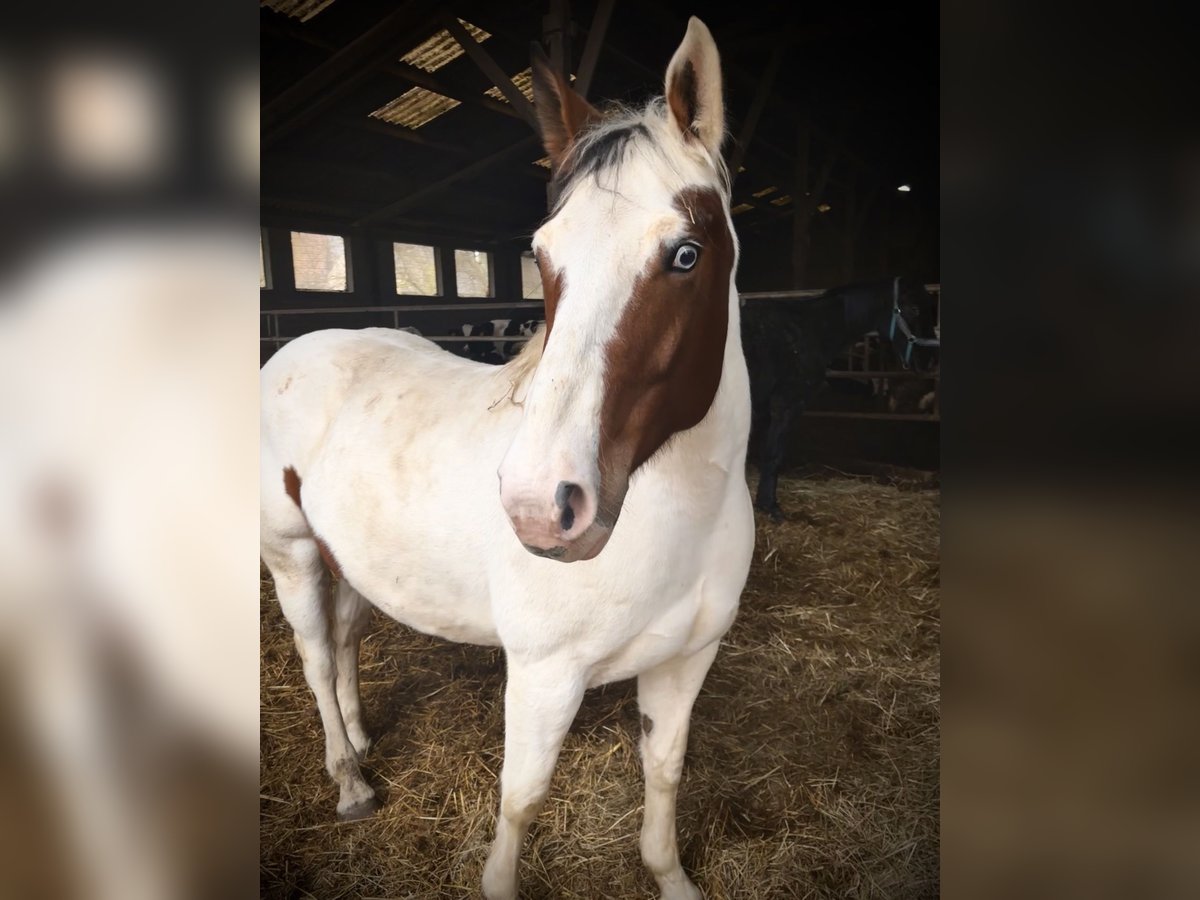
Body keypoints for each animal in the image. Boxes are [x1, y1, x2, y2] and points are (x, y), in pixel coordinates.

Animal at [259, 19, 751, 900]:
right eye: (543, 254)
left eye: (687, 254)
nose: (539, 506)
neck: (683, 520)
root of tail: (293, 350)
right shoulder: (546, 675)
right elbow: (521, 800)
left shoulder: (688, 660)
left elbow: (664, 771)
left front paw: (670, 877)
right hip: (291, 556)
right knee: (315, 658)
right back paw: (349, 781)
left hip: (343, 558)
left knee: (346, 641)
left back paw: (361, 740)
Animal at [741, 277, 937, 518]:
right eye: (914, 308)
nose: (929, 361)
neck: (810, 331)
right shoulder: (787, 403)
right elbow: (773, 454)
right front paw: (770, 506)